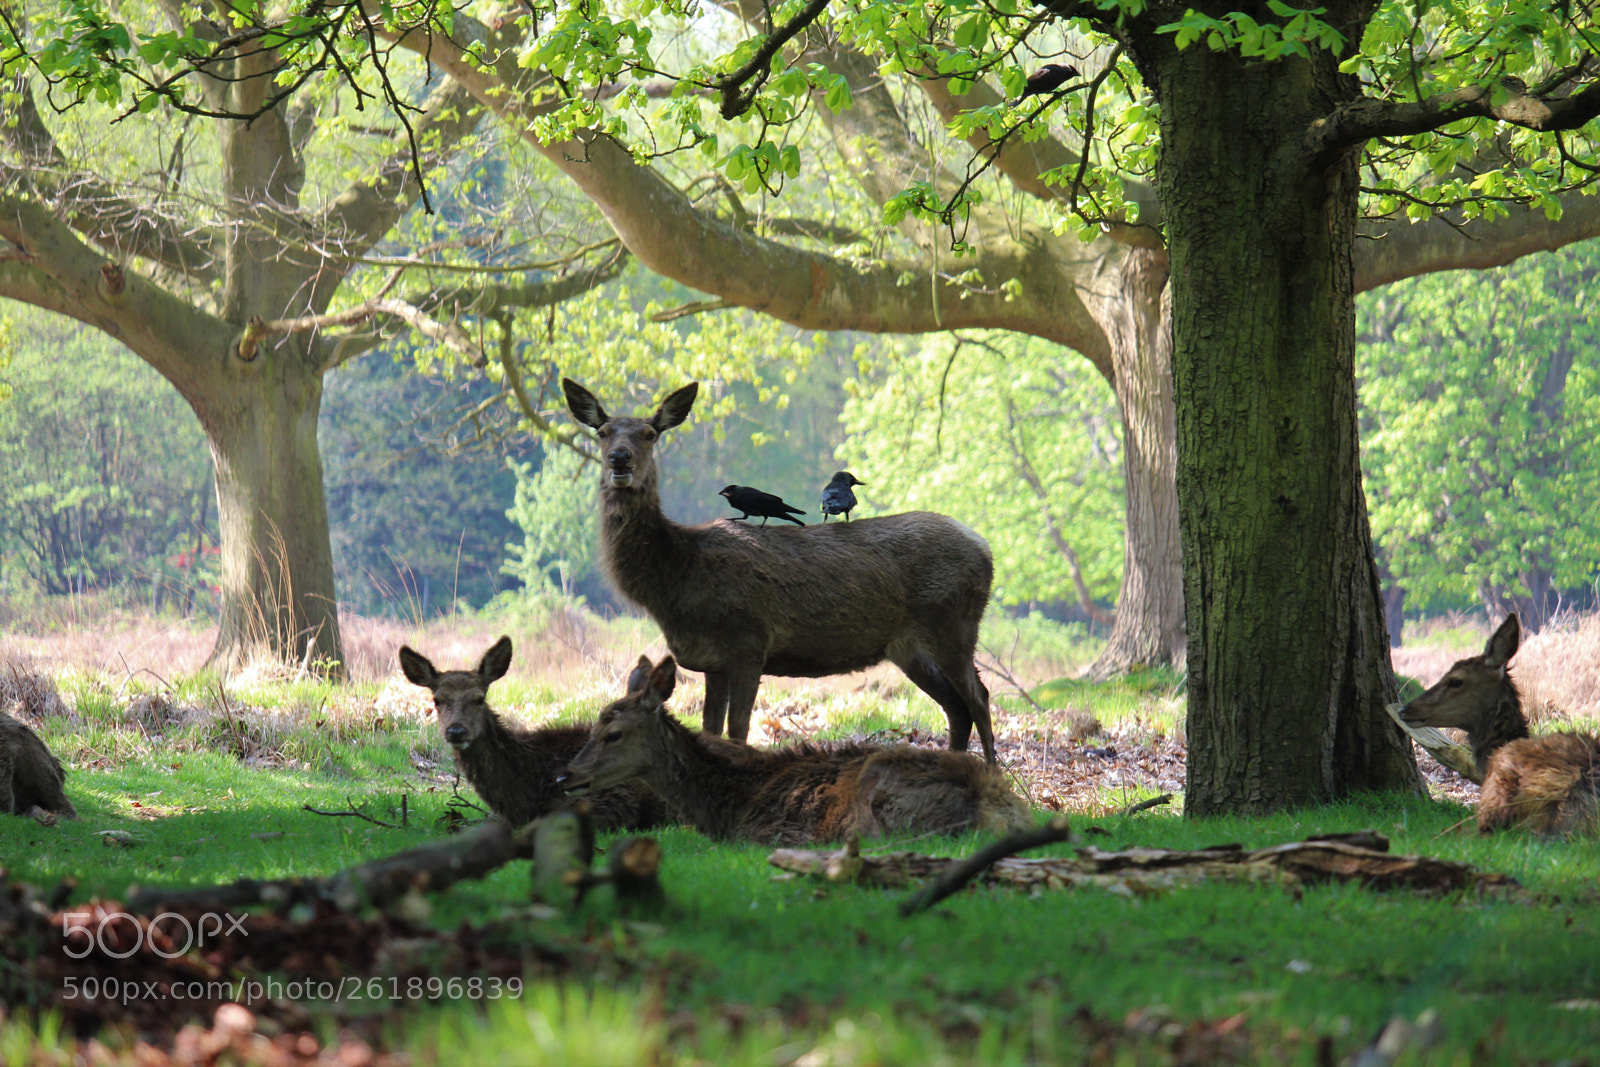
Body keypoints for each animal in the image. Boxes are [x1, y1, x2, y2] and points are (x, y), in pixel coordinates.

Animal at [557, 655, 1031, 846]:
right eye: (593, 725)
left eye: (614, 733)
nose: (566, 775)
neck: (728, 803)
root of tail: (991, 801)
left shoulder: (768, 834)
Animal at [562, 378, 999, 763]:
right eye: (602, 432)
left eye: (650, 433)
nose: (620, 459)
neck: (676, 581)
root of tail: (985, 548)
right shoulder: (711, 660)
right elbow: (710, 731)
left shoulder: (749, 642)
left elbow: (738, 730)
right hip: (910, 647)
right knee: (957, 708)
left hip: (953, 625)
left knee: (979, 698)